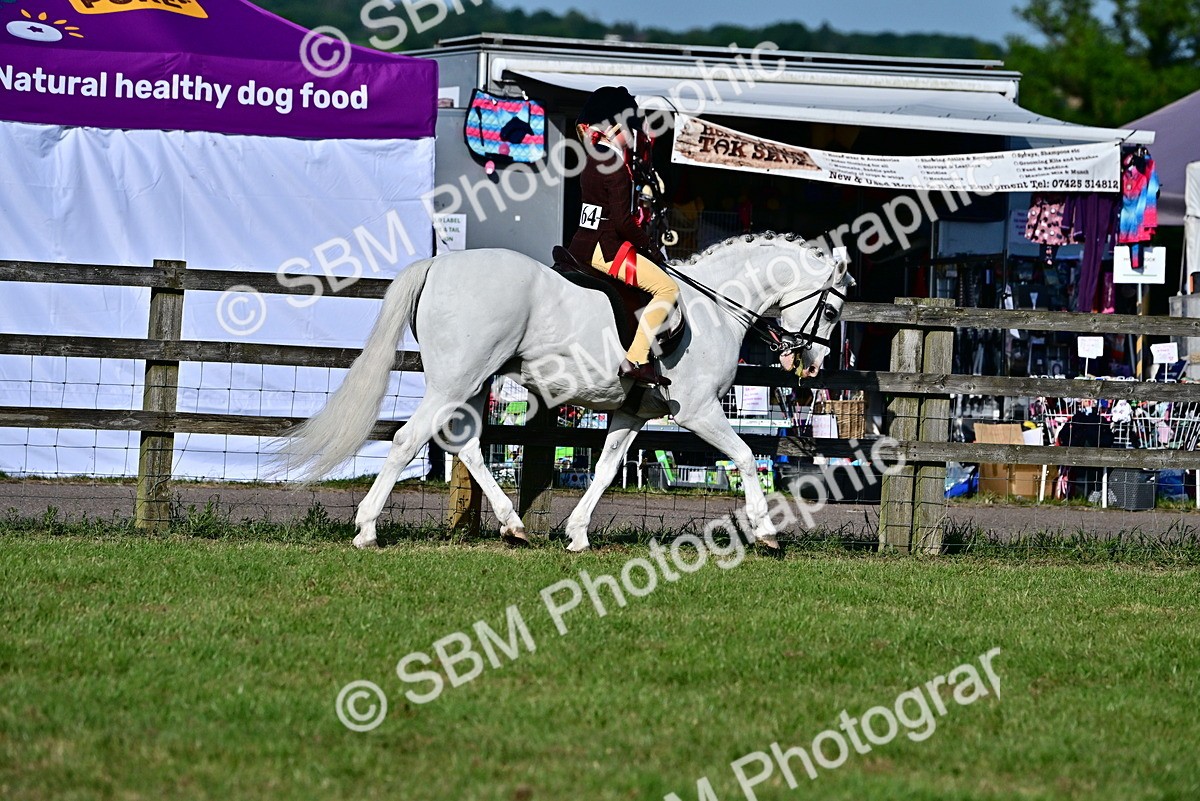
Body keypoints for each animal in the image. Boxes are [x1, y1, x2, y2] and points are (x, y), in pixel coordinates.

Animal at [278, 232, 852, 553]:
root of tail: (440, 264)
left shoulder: (634, 413)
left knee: (465, 443)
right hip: (456, 380)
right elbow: (747, 457)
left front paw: (577, 533)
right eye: (831, 309)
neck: (712, 307)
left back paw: (513, 526)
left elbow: (605, 469)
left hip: (469, 382)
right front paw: (766, 532)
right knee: (406, 441)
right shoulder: (698, 411)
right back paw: (367, 529)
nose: (812, 363)